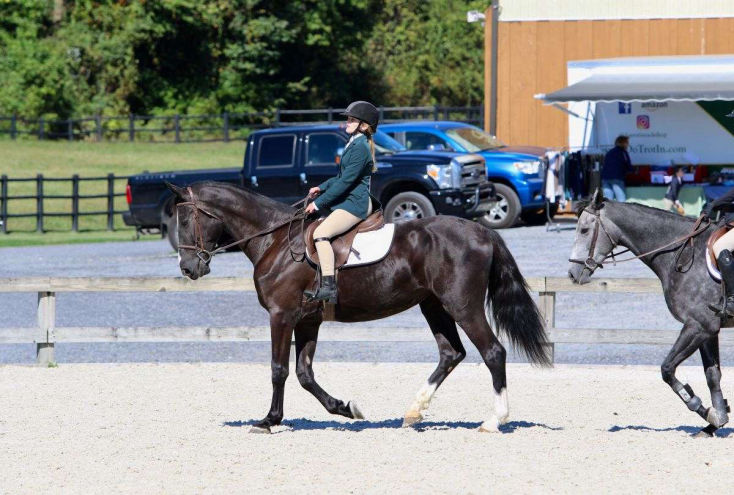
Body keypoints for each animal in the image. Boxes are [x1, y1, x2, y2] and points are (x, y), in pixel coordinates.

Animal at [168, 181, 551, 433]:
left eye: (185, 220)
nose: (188, 268)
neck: (274, 240)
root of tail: (483, 232)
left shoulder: (282, 315)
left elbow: (279, 370)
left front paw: (268, 421)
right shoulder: (307, 321)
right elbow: (305, 374)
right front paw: (346, 408)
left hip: (462, 306)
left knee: (493, 352)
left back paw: (493, 420)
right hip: (434, 306)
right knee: (451, 353)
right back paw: (413, 412)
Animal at [568, 189, 729, 437]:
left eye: (584, 230)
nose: (572, 273)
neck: (683, 254)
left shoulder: (699, 325)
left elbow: (667, 369)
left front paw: (702, 409)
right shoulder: (708, 329)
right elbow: (712, 375)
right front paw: (715, 420)